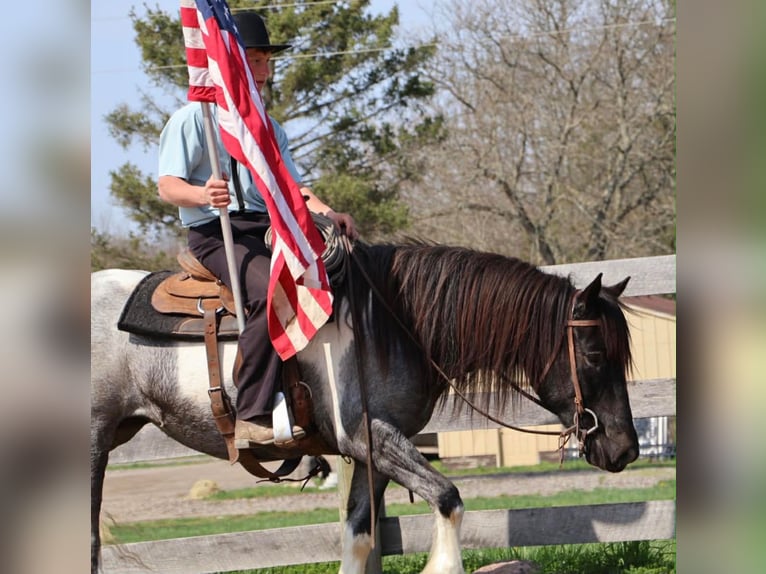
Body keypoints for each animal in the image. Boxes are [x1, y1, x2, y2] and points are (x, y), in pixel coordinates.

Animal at [90, 242, 639, 574]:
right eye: (595, 354)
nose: (626, 450)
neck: (394, 325)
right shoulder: (367, 436)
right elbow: (449, 499)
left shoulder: (374, 453)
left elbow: (358, 532)